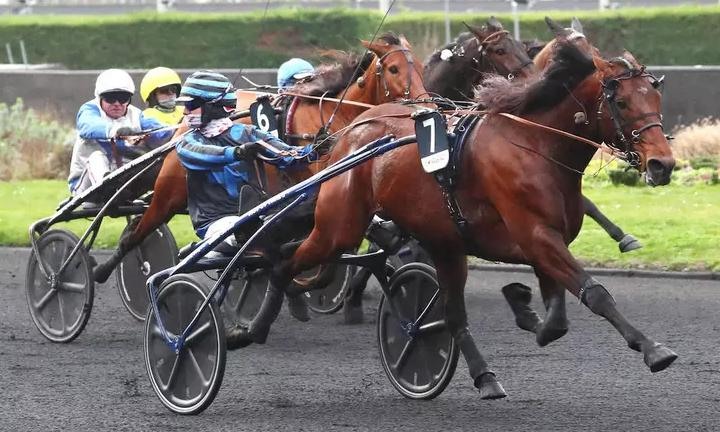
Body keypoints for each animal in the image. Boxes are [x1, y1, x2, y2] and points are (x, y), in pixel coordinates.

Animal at [92, 33, 424, 284]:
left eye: (420, 66)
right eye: (393, 69)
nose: (425, 104)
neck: (336, 114)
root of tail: (184, 126)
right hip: (169, 193)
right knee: (138, 231)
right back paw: (101, 270)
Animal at [233, 38, 676, 398]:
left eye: (655, 100)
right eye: (621, 102)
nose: (663, 164)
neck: (533, 145)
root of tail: (352, 130)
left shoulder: (543, 241)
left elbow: (555, 320)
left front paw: (522, 304)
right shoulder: (537, 235)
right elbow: (595, 293)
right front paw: (654, 349)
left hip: (441, 242)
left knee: (448, 311)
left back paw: (484, 376)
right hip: (340, 227)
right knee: (287, 261)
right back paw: (253, 326)